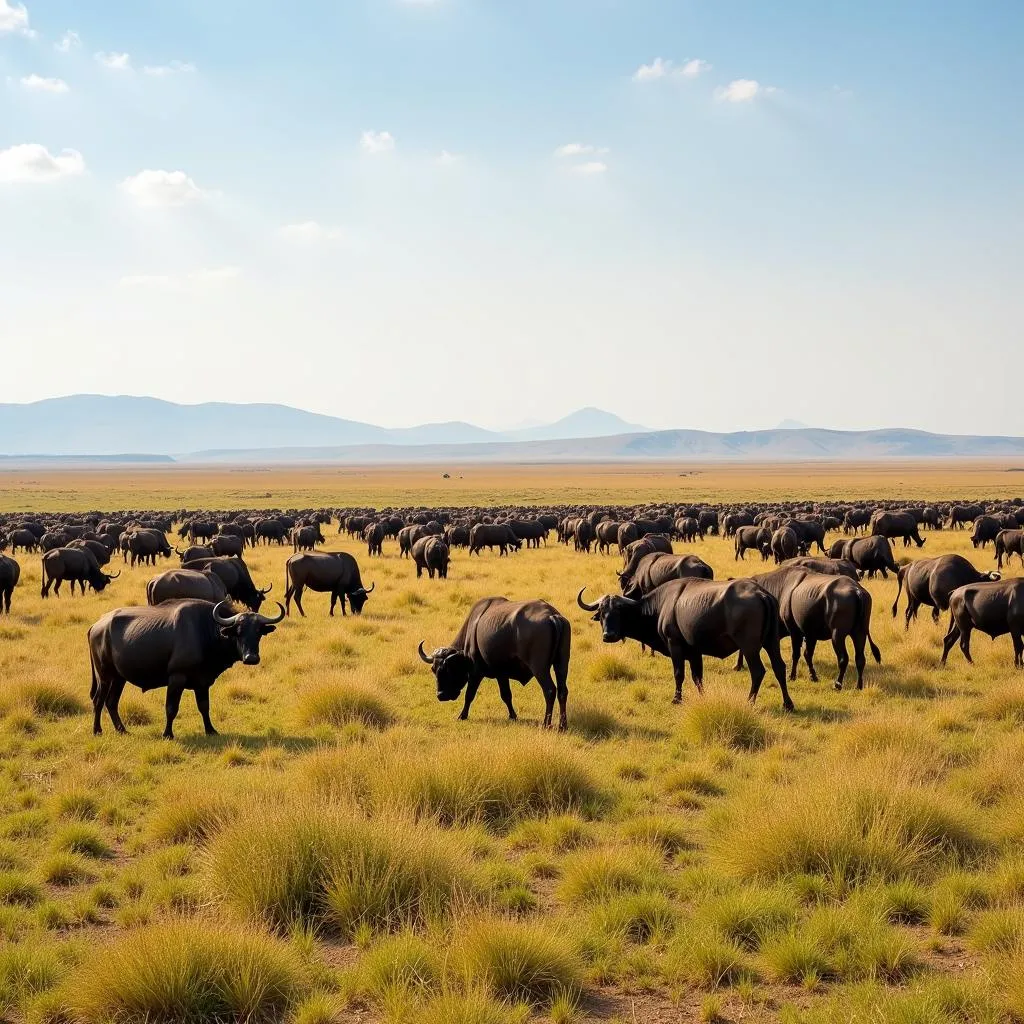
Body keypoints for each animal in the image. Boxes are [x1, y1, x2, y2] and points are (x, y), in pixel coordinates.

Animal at [84, 598, 282, 741]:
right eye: (239, 631)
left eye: (258, 632)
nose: (251, 658)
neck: (205, 631)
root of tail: (97, 625)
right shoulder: (176, 679)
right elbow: (171, 708)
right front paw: (168, 734)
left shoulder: (203, 682)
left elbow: (204, 707)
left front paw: (210, 730)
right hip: (104, 676)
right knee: (98, 700)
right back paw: (97, 730)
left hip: (119, 678)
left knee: (111, 702)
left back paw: (122, 730)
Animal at [419, 598, 573, 733]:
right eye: (434, 669)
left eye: (449, 669)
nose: (441, 695)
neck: (472, 629)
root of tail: (552, 616)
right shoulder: (501, 674)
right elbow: (506, 695)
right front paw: (513, 716)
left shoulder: (476, 673)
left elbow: (469, 695)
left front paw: (462, 715)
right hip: (562, 665)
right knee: (562, 691)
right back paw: (562, 726)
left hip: (539, 669)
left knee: (550, 690)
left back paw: (546, 724)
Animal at [577, 577, 790, 712]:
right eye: (602, 613)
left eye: (619, 612)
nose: (609, 635)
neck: (661, 605)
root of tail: (761, 593)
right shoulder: (695, 652)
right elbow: (698, 677)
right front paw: (702, 698)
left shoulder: (675, 646)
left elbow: (679, 674)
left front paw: (676, 698)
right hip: (771, 643)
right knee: (779, 667)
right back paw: (787, 703)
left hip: (749, 647)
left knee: (758, 671)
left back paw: (750, 701)